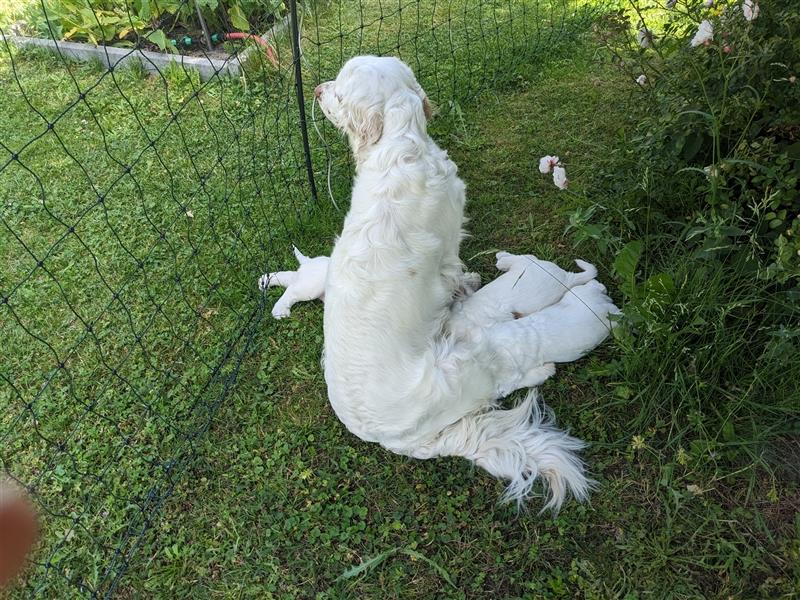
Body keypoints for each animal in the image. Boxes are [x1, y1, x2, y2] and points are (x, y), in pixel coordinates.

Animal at [312, 55, 612, 510]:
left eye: (340, 91)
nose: (315, 90)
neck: (402, 148)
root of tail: (399, 442)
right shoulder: (450, 251)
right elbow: (455, 275)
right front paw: (468, 283)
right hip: (469, 360)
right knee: (503, 378)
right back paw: (540, 369)